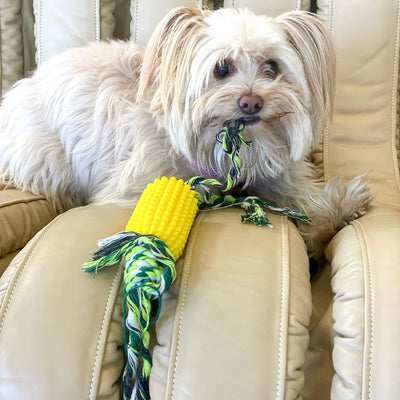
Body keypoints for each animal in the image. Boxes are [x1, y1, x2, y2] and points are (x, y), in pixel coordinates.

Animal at [0, 7, 372, 258]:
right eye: (221, 68)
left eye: (272, 67)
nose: (252, 102)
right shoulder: (129, 188)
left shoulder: (276, 175)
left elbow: (304, 197)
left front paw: (335, 214)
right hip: (47, 161)